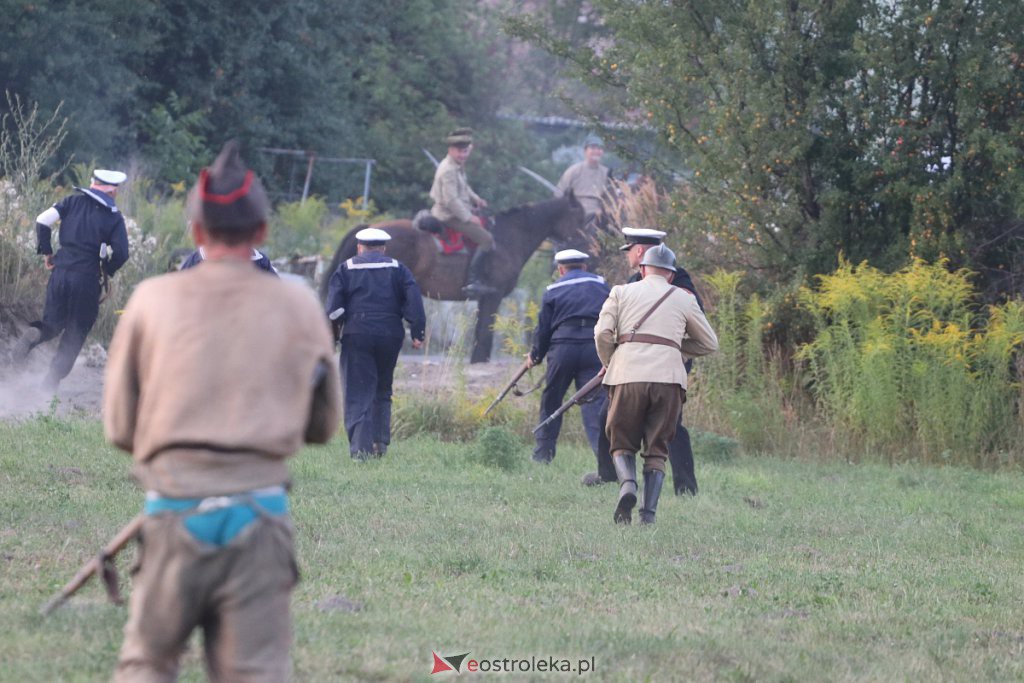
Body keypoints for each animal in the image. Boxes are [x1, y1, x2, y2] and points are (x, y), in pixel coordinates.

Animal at [323, 191, 589, 362]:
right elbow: (484, 333)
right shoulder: (492, 297)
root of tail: (368, 229)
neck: (509, 238)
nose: (585, 245)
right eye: (580, 216)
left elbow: (481, 332)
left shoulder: (485, 300)